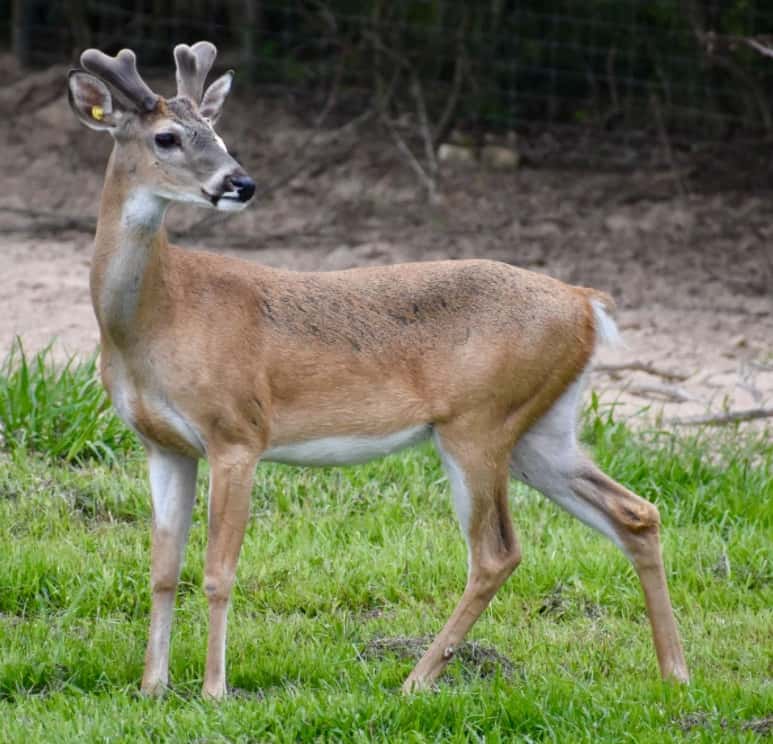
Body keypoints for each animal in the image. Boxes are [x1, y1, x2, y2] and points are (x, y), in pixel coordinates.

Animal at [66, 42, 689, 699]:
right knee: (634, 513)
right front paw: (151, 688)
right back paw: (675, 672)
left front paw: (214, 691)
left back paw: (416, 679)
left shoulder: (237, 432)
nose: (241, 182)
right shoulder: (163, 444)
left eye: (218, 133)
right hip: (541, 429)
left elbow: (217, 571)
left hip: (478, 423)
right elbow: (162, 568)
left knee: (497, 553)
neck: (160, 318)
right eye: (166, 137)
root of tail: (586, 303)